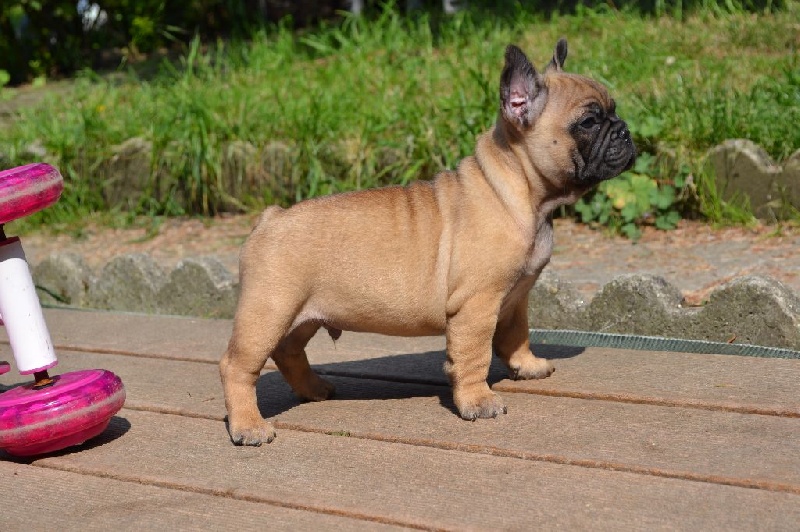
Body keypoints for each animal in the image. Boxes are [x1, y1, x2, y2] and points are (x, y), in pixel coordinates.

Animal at [220, 38, 636, 445]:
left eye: (614, 111)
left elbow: (517, 336)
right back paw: (249, 426)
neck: (521, 190)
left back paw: (313, 389)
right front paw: (478, 401)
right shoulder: (476, 303)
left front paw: (527, 366)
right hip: (269, 309)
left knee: (288, 350)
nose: (625, 130)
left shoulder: (515, 298)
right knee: (237, 366)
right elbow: (474, 356)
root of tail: (272, 216)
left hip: (304, 314)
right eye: (589, 121)